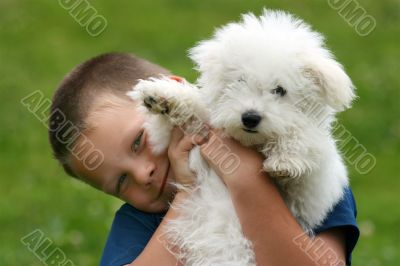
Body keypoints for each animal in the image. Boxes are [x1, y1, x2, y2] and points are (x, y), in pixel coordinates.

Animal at [129, 8, 356, 266]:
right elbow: (195, 109)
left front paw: (286, 158)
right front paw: (163, 96)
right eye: (240, 81)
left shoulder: (309, 196)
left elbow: (307, 137)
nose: (250, 117)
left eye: (280, 90)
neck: (252, 143)